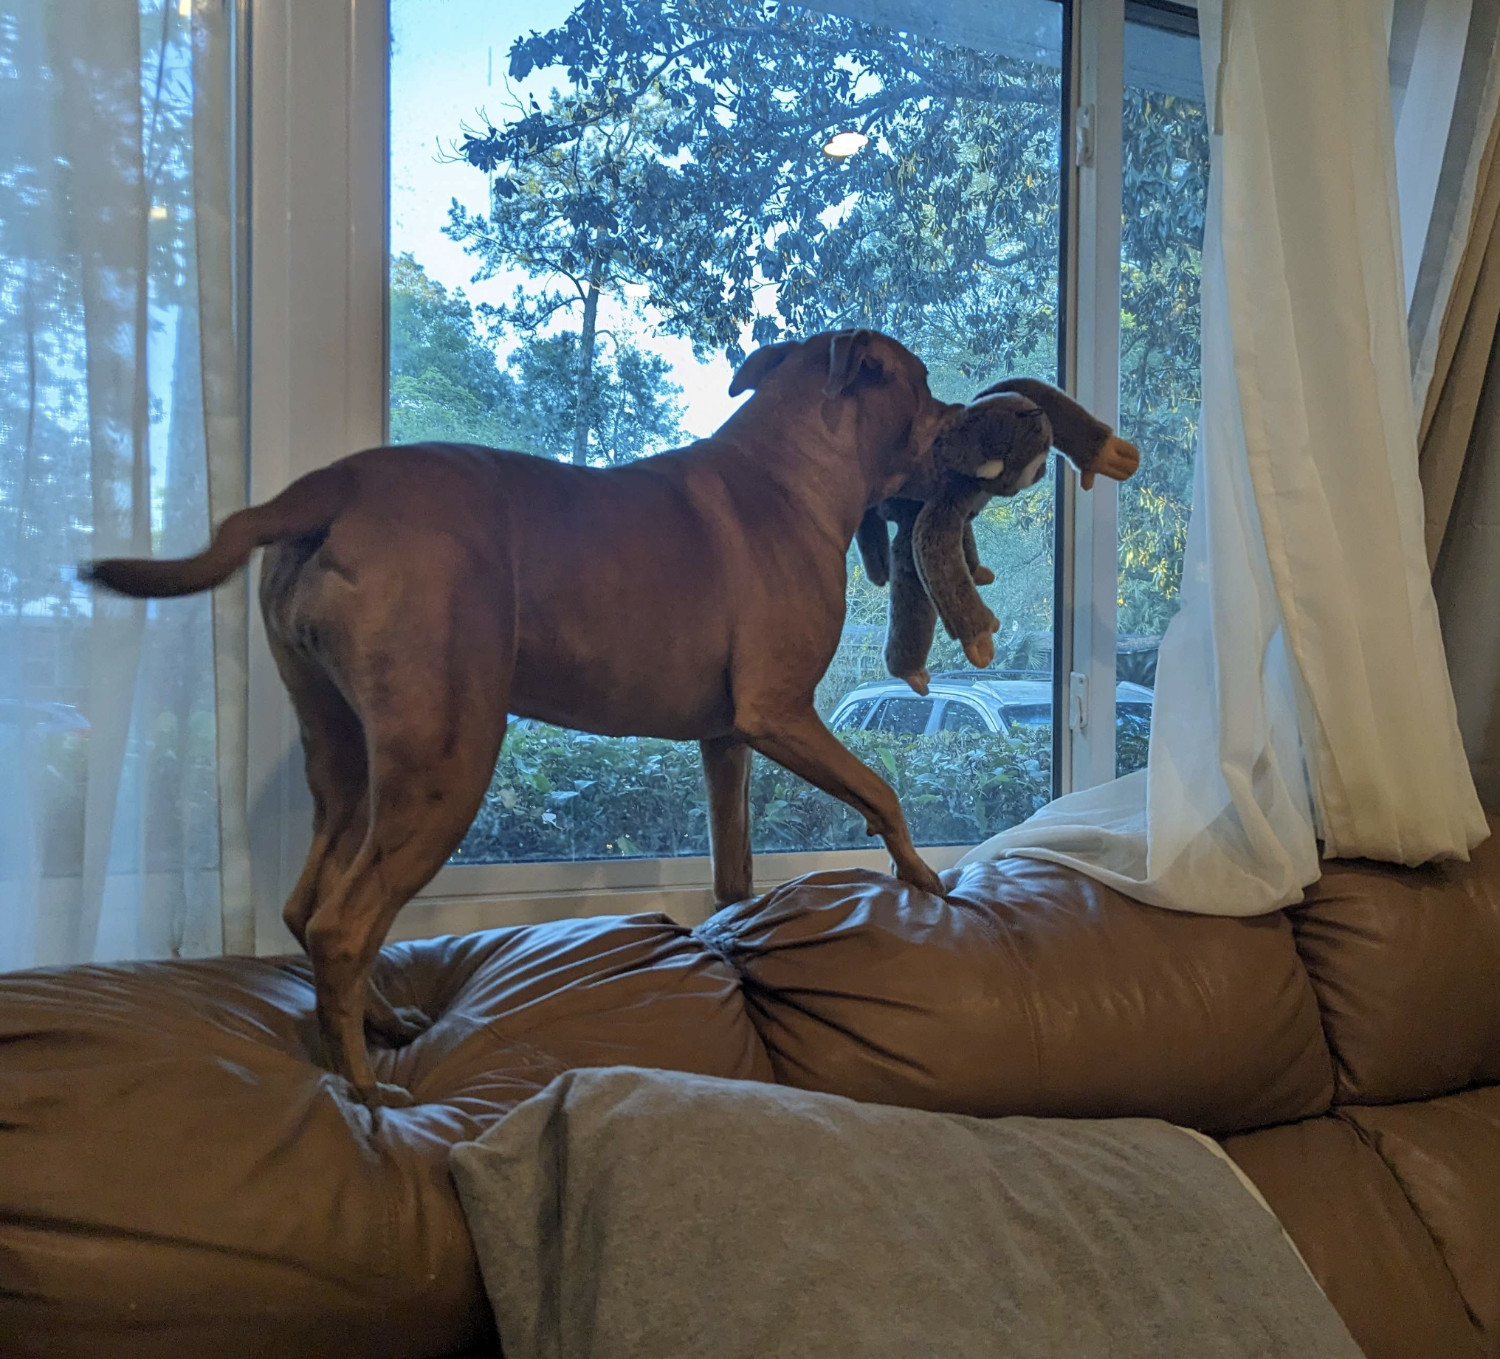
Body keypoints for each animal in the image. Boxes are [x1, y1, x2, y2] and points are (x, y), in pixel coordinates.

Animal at [82, 328, 1116, 1104]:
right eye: (930, 390)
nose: (1012, 416)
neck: (793, 470)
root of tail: (326, 487)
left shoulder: (727, 740)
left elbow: (735, 866)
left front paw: (736, 936)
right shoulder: (781, 713)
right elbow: (881, 788)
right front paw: (925, 880)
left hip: (347, 762)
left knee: (311, 906)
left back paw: (378, 1027)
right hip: (444, 765)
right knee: (343, 923)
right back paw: (365, 1088)